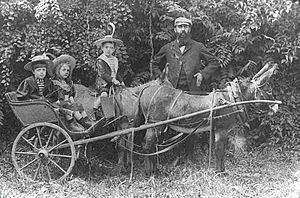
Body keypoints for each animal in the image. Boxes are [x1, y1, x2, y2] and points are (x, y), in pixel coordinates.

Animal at [135, 61, 278, 175]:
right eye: (269, 90)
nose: (276, 107)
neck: (231, 99)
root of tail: (145, 90)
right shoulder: (222, 129)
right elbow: (219, 150)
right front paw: (220, 173)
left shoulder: (216, 129)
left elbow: (217, 150)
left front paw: (219, 170)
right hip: (155, 125)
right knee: (146, 145)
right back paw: (150, 173)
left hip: (156, 126)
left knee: (152, 146)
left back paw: (155, 171)